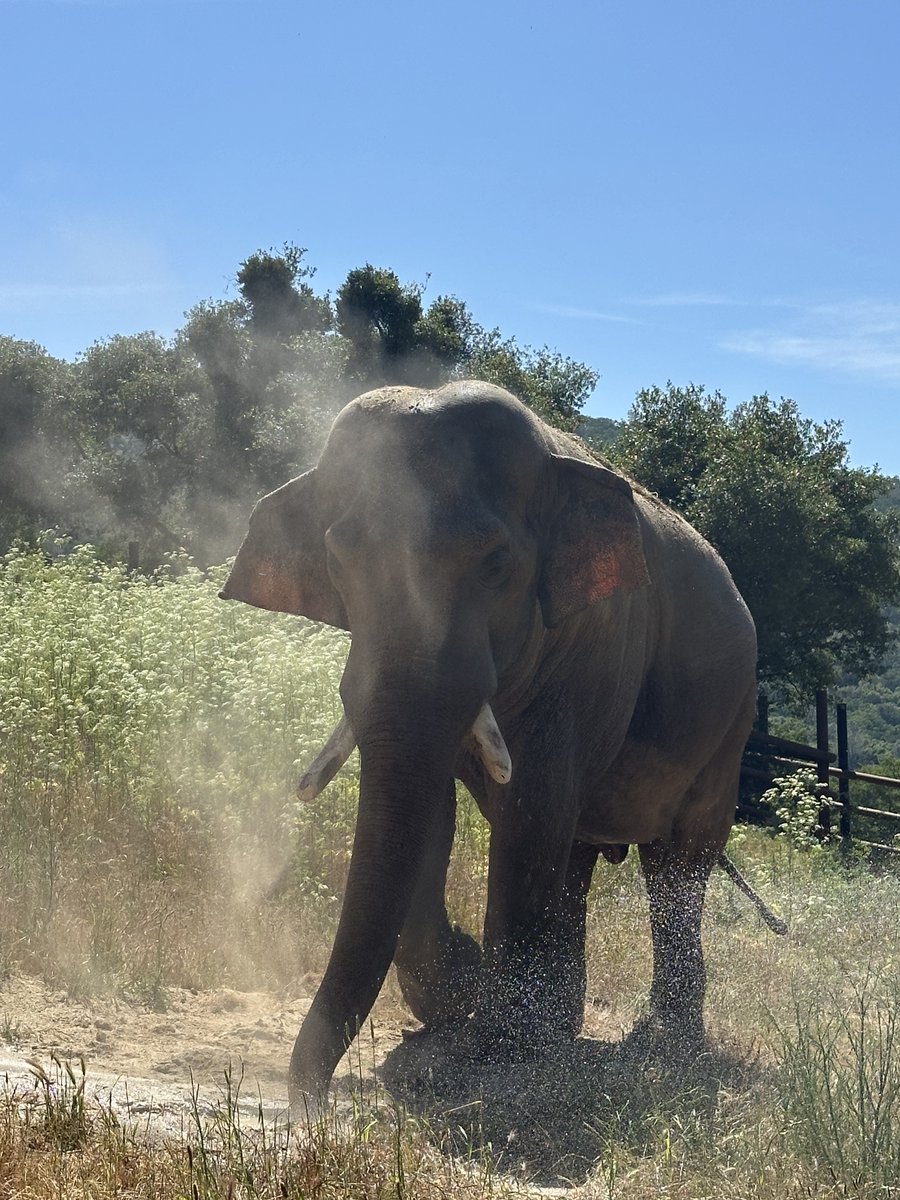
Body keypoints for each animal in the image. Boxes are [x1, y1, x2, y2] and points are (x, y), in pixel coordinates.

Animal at [219, 379, 761, 1107]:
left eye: (497, 564)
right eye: (336, 561)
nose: (312, 1108)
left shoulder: (588, 655)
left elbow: (530, 809)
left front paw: (496, 1047)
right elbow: (437, 810)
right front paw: (461, 1002)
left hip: (730, 724)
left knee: (676, 864)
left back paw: (662, 1043)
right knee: (579, 856)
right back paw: (562, 1025)